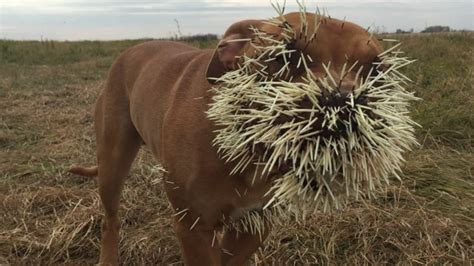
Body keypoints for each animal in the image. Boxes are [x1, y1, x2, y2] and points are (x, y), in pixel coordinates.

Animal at [71, 12, 386, 266]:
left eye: (376, 71)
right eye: (286, 56)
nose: (343, 102)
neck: (250, 151)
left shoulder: (255, 224)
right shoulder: (193, 227)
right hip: (112, 164)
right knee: (110, 220)